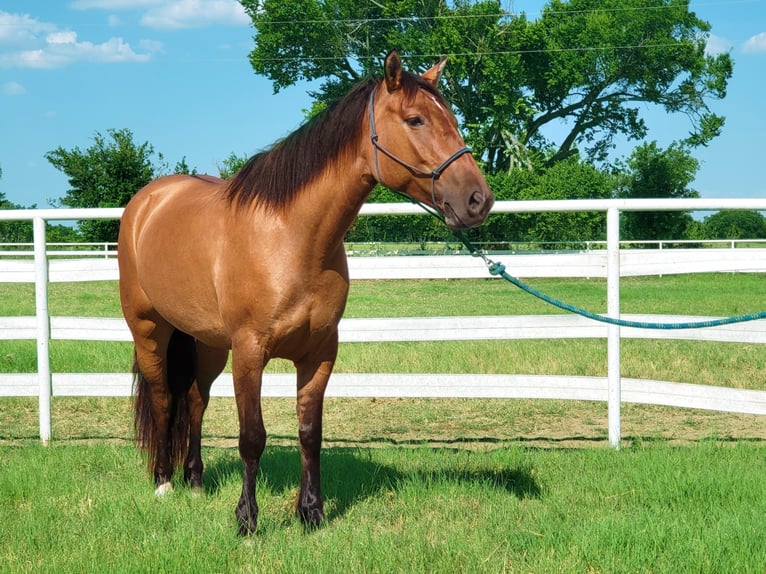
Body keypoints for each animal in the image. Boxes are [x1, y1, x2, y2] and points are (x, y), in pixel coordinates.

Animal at [117, 49, 496, 536]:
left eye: (451, 118)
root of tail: (147, 202)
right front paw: (247, 520)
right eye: (415, 120)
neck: (291, 237)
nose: (478, 200)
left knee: (195, 401)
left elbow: (309, 433)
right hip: (151, 330)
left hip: (207, 342)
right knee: (164, 398)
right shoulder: (249, 352)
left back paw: (195, 480)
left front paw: (311, 513)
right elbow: (252, 437)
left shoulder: (319, 353)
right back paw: (164, 481)